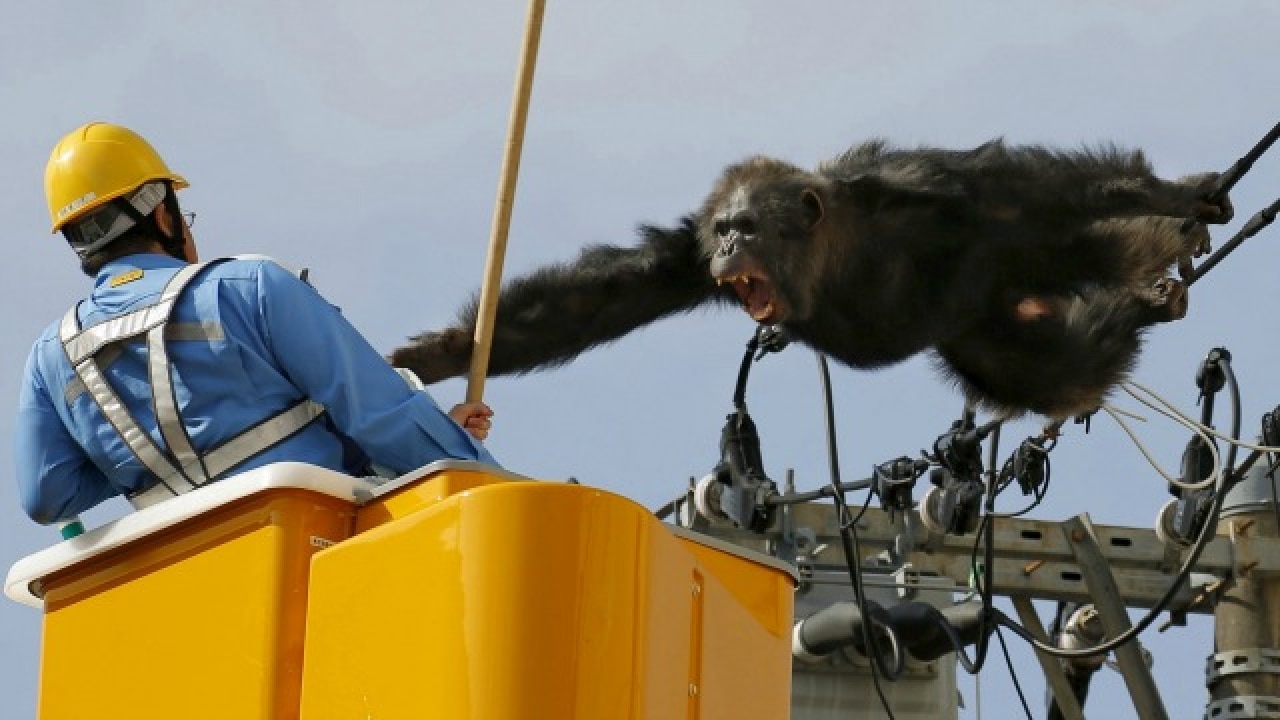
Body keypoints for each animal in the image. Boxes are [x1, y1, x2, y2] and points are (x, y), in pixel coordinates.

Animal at [391, 138, 1231, 420]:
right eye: (723, 229)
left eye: (746, 226)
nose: (730, 247)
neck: (834, 252)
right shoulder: (686, 259)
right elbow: (595, 300)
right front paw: (444, 351)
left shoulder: (934, 191)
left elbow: (1022, 187)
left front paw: (1171, 194)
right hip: (984, 331)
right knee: (1046, 371)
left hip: (1031, 261)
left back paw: (1152, 282)